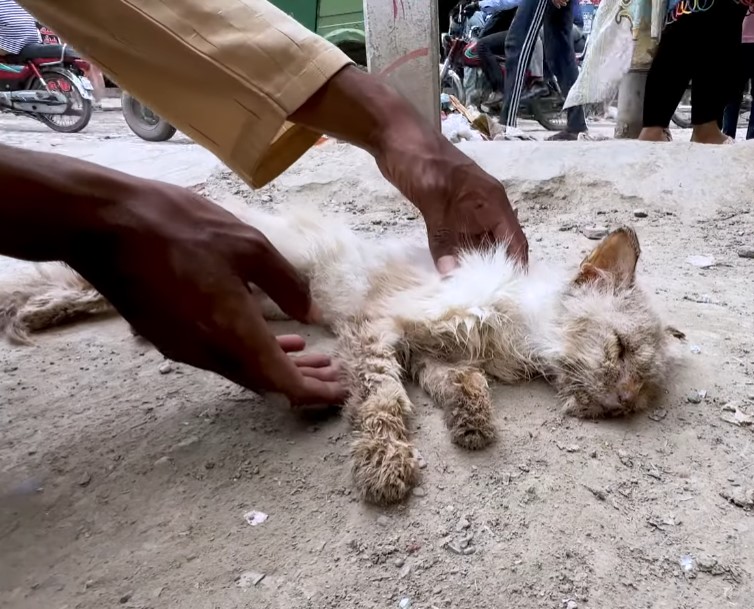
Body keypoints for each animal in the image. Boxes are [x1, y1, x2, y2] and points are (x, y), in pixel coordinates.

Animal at [0, 208, 680, 504]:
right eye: (618, 349)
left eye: (644, 389)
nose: (623, 404)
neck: (515, 329)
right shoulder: (379, 329)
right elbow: (383, 402)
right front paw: (385, 463)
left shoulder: (430, 353)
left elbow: (459, 385)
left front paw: (472, 424)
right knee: (70, 280)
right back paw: (37, 315)